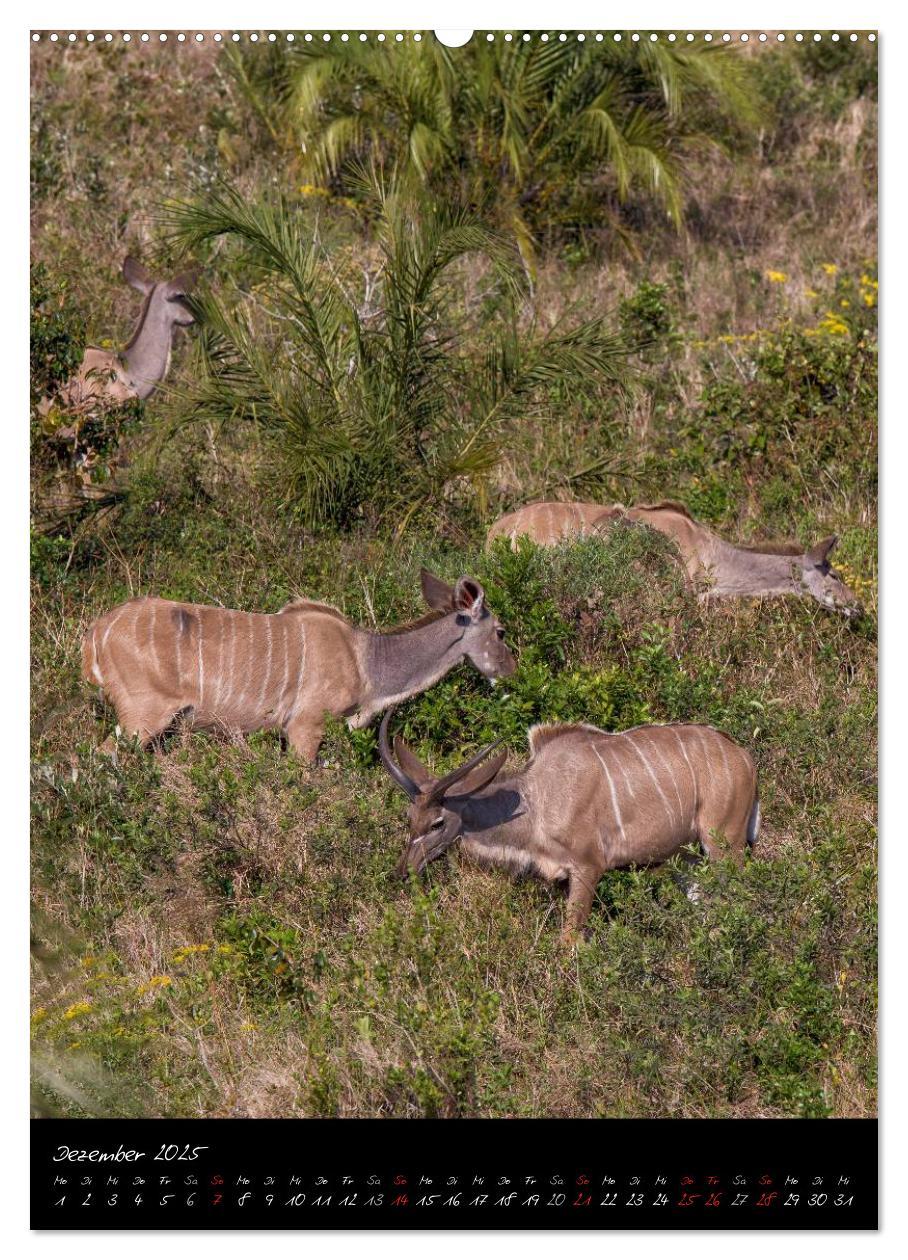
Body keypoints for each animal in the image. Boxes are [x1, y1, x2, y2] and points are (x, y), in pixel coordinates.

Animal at [85, 572, 516, 756]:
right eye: (501, 631)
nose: (512, 673)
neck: (364, 659)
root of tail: (96, 634)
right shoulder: (305, 727)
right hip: (143, 717)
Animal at [380, 710, 755, 937]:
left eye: (437, 823)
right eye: (409, 818)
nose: (402, 871)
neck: (537, 801)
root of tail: (745, 758)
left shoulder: (589, 867)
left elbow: (570, 940)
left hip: (725, 845)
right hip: (686, 857)